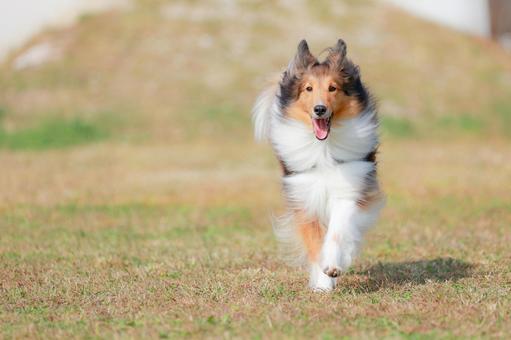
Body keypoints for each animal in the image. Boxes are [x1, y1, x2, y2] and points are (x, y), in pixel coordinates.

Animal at [252, 38, 384, 290]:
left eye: (333, 88)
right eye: (308, 88)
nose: (320, 109)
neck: (323, 149)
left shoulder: (349, 187)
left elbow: (337, 231)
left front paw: (332, 266)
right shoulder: (304, 197)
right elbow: (314, 241)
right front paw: (323, 285)